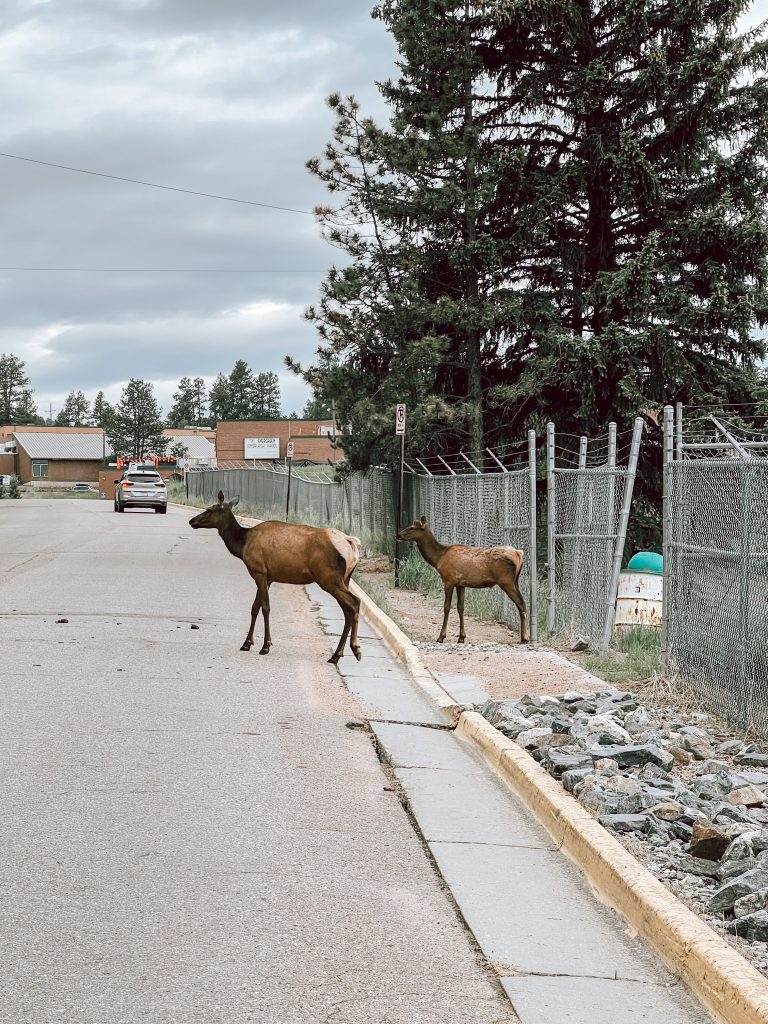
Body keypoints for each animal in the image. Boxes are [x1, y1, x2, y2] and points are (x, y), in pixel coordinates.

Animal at [191, 493, 362, 663]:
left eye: (209, 509)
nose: (191, 521)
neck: (242, 544)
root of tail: (351, 544)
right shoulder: (268, 577)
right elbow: (255, 607)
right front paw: (247, 643)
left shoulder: (258, 571)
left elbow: (265, 608)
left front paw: (266, 645)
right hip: (344, 579)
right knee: (347, 610)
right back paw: (336, 655)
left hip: (328, 578)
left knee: (355, 602)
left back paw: (355, 649)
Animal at [397, 516, 528, 643]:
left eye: (412, 527)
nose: (397, 535)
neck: (438, 558)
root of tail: (518, 554)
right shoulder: (461, 584)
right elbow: (461, 608)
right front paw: (461, 637)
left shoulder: (448, 580)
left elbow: (447, 607)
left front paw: (441, 637)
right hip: (515, 581)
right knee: (522, 603)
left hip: (506, 581)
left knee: (521, 603)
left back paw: (525, 638)